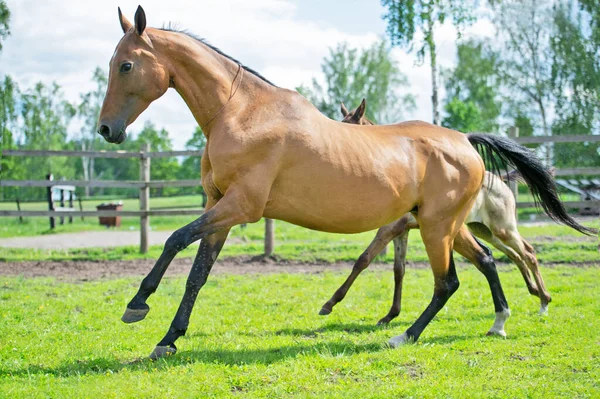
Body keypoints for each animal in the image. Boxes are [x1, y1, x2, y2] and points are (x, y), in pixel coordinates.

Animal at [318, 101, 556, 326]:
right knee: (513, 254)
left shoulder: (389, 229)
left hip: (502, 228)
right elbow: (398, 270)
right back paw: (535, 292)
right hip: (483, 230)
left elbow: (363, 260)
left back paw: (544, 301)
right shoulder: (401, 231)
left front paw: (330, 304)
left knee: (527, 252)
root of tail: (498, 179)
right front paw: (390, 314)